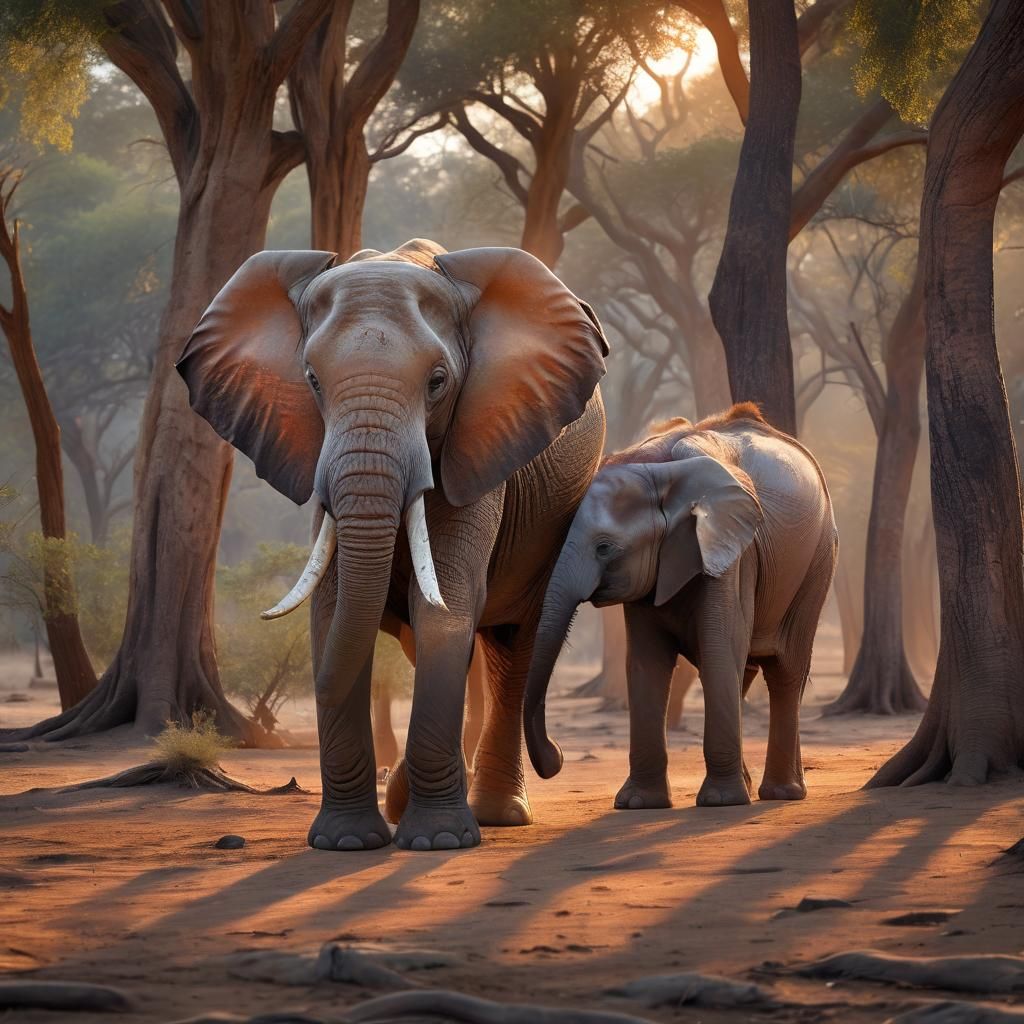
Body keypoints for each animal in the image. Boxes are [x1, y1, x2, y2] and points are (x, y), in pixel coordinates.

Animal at [177, 239, 608, 851]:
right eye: (311, 380)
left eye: (437, 381)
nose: (562, 760)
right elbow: (334, 610)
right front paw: (346, 842)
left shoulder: (476, 448)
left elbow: (446, 608)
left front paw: (439, 840)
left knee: (512, 647)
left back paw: (497, 815)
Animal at [523, 403, 837, 809]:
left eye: (604, 547)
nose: (557, 757)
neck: (659, 472)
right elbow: (647, 662)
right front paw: (638, 804)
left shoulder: (732, 552)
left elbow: (718, 648)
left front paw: (720, 801)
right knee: (744, 671)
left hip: (817, 562)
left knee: (784, 671)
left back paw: (781, 794)